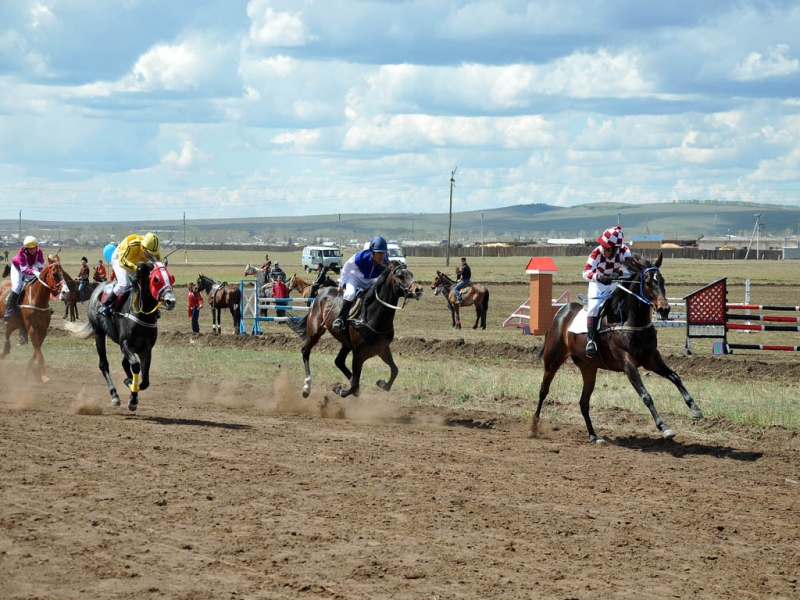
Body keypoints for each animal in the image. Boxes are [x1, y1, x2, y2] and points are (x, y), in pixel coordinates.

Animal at [67, 260, 177, 410]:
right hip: (99, 333)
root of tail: (99, 287)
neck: (141, 314)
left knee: (124, 364)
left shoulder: (146, 348)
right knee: (104, 364)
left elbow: (145, 381)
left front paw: (132, 389)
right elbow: (135, 366)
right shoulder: (125, 343)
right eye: (156, 279)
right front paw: (132, 394)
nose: (171, 301)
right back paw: (115, 395)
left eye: (171, 278)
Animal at [290, 264, 424, 398]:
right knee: (306, 351)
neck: (373, 317)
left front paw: (382, 383)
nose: (419, 290)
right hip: (315, 332)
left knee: (339, 361)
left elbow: (394, 371)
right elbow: (354, 386)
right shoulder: (358, 354)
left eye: (411, 274)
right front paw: (339, 389)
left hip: (346, 343)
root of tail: (321, 292)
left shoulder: (383, 349)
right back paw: (307, 387)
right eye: (400, 275)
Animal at [536, 254, 704, 446]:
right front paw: (664, 427)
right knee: (543, 390)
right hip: (553, 359)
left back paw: (593, 435)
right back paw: (534, 427)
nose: (664, 309)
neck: (631, 322)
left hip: (588, 368)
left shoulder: (651, 359)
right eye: (647, 282)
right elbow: (645, 395)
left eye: (662, 280)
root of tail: (560, 313)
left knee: (583, 402)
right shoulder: (627, 362)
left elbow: (675, 377)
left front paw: (695, 408)